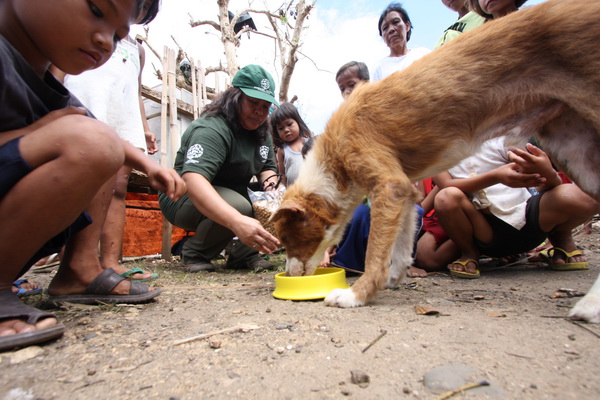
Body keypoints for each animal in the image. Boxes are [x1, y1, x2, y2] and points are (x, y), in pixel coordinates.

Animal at [270, 0, 600, 322]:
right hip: (577, 153)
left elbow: (375, 253)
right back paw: (590, 306)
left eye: (288, 239)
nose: (288, 275)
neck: (334, 158)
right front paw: (394, 277)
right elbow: (401, 245)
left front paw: (358, 294)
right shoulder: (405, 192)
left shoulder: (388, 187)